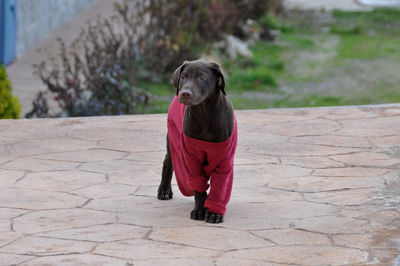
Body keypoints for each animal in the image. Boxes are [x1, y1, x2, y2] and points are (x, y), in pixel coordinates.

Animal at [157, 59, 238, 222]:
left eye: (202, 77)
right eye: (183, 76)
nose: (185, 93)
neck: (204, 112)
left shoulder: (224, 159)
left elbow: (220, 187)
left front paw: (213, 213)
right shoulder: (191, 157)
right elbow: (198, 186)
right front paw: (200, 210)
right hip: (173, 139)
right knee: (168, 162)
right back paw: (164, 191)